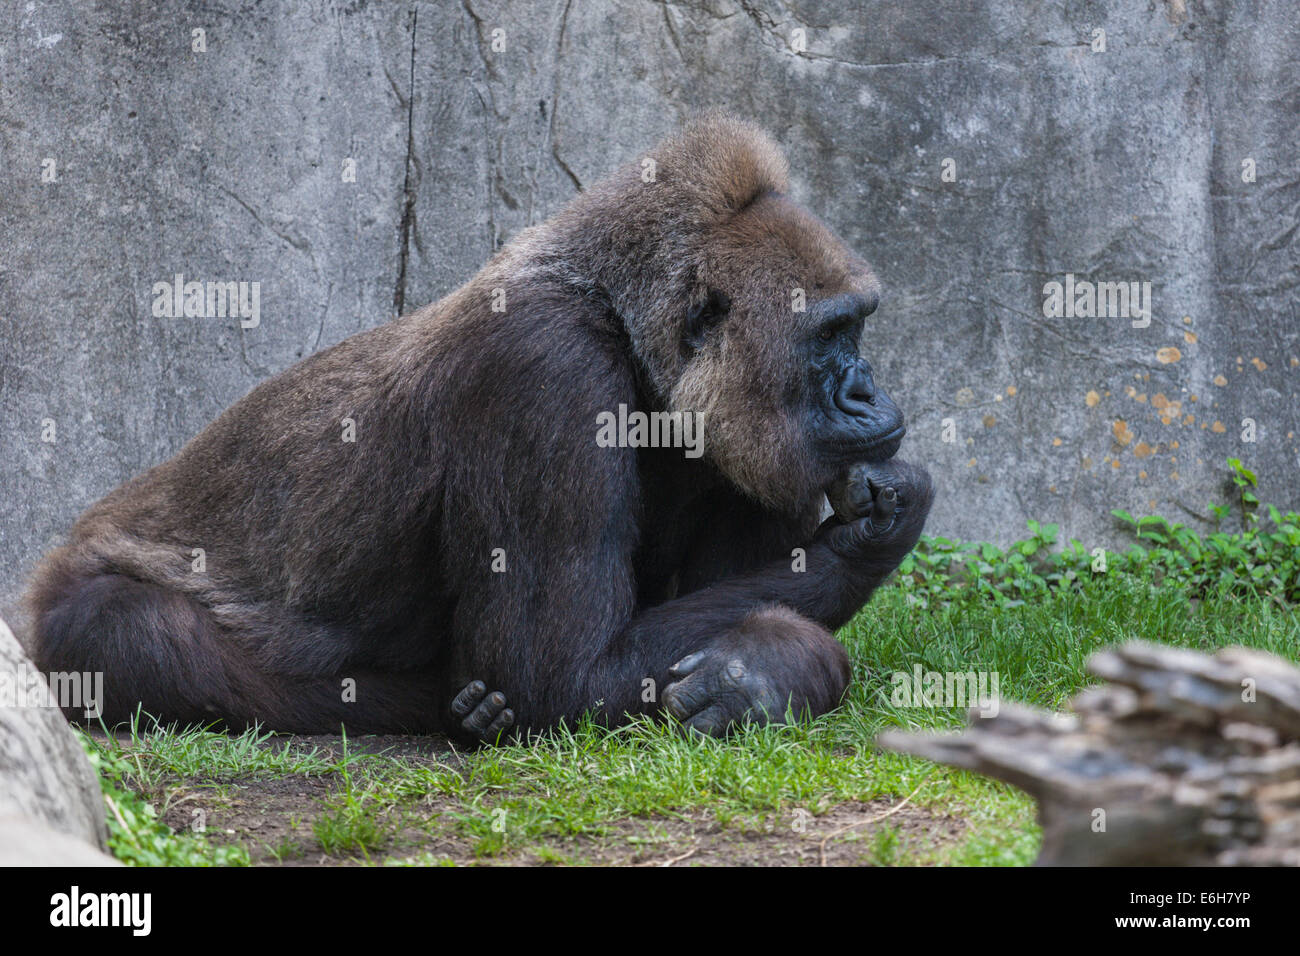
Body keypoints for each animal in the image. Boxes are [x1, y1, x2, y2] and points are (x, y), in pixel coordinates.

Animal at [22, 110, 935, 738]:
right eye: (831, 336)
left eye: (856, 327)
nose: (867, 393)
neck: (622, 318)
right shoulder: (540, 366)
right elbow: (558, 680)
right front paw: (801, 634)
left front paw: (757, 672)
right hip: (64, 606)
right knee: (127, 631)